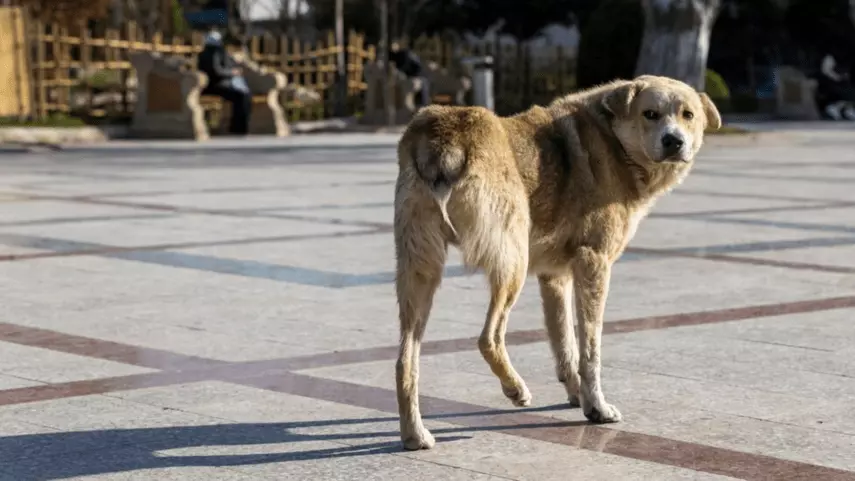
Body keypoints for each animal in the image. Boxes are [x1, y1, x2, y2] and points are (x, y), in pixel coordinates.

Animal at [394, 75, 724, 450]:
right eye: (650, 114)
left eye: (688, 115)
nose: (674, 141)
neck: (613, 140)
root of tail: (446, 135)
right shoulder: (593, 263)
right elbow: (590, 349)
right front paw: (597, 407)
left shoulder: (554, 276)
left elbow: (565, 343)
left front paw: (577, 397)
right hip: (513, 262)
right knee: (488, 338)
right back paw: (515, 389)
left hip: (419, 270)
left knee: (405, 360)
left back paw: (414, 434)